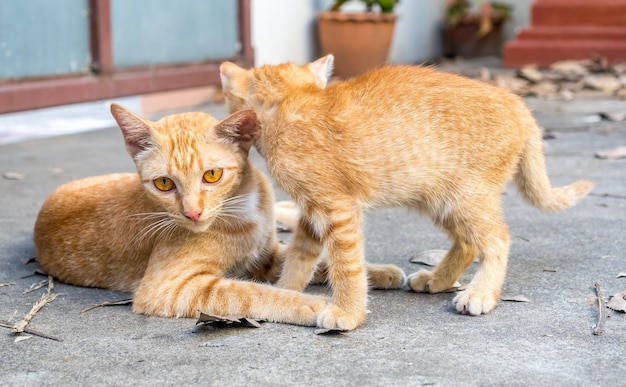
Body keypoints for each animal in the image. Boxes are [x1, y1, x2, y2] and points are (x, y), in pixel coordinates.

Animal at [219, 56, 588, 332]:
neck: (289, 107)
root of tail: (516, 102)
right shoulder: (312, 210)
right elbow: (300, 255)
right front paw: (285, 293)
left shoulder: (337, 207)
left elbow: (346, 265)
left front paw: (348, 313)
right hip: (441, 199)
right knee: (468, 242)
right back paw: (437, 279)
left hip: (465, 197)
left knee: (497, 239)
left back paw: (480, 293)